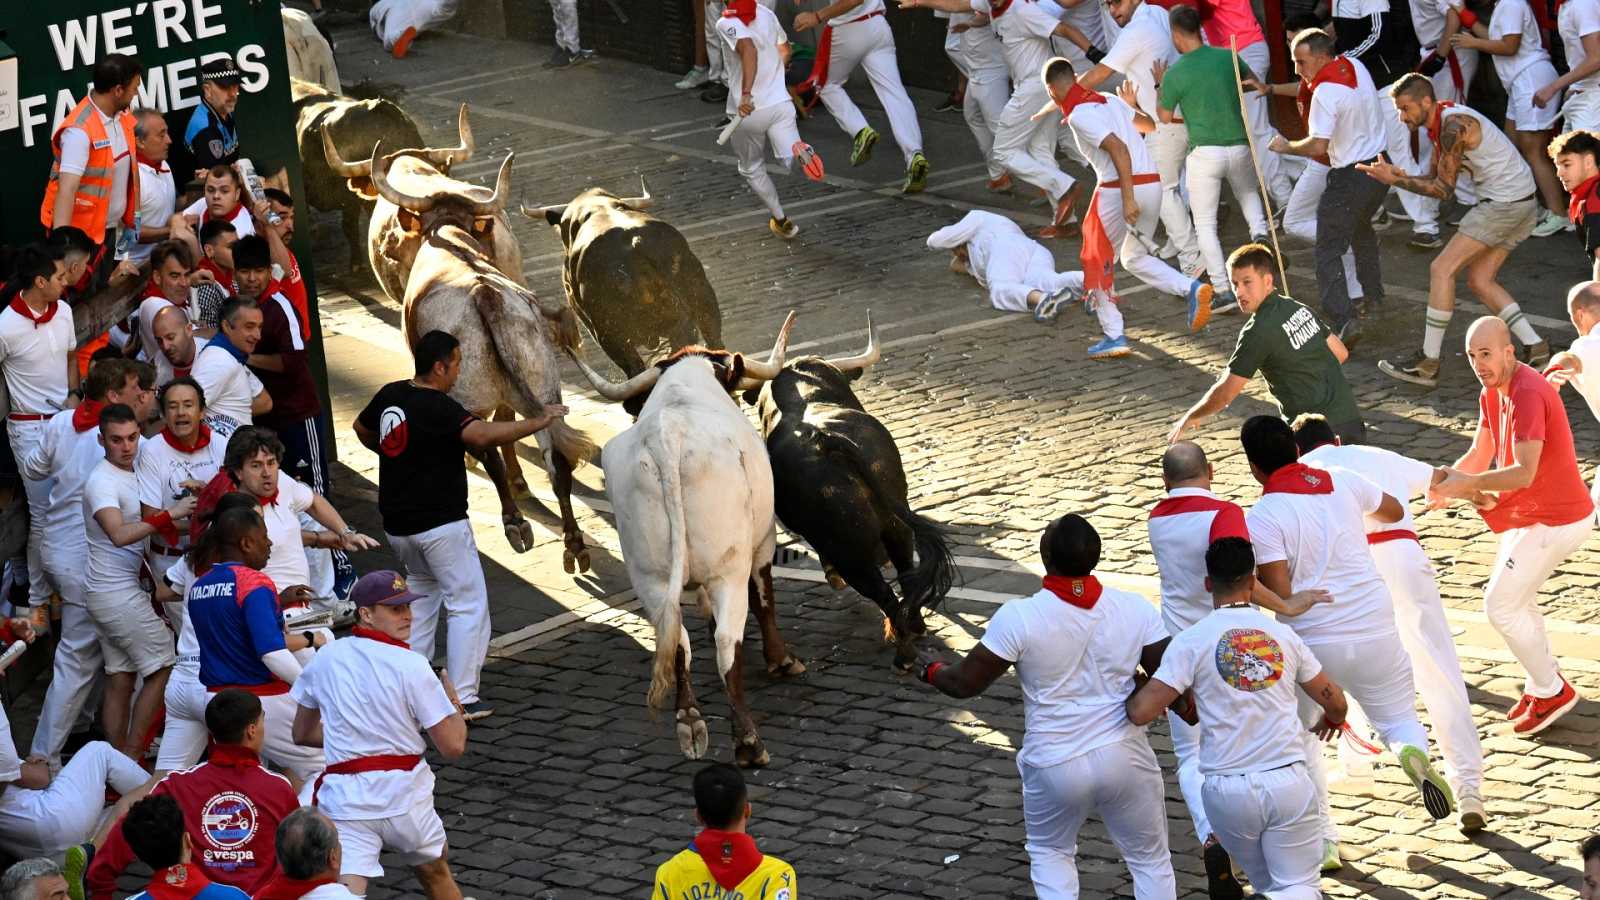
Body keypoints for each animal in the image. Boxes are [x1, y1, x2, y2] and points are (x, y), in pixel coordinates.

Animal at [366, 143, 598, 566]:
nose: (388, 249)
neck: (453, 241)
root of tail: (483, 294)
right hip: (545, 388)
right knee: (557, 461)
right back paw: (573, 543)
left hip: (469, 398)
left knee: (488, 450)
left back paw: (515, 523)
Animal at [566, 313, 812, 762]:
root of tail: (667, 440)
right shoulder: (762, 543)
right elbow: (765, 597)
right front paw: (781, 659)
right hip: (727, 570)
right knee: (726, 642)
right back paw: (747, 741)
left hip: (649, 575)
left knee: (676, 639)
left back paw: (689, 721)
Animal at [745, 310, 953, 666]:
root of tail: (825, 440)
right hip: (896, 523)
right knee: (906, 574)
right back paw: (915, 628)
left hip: (849, 549)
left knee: (882, 593)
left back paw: (904, 651)